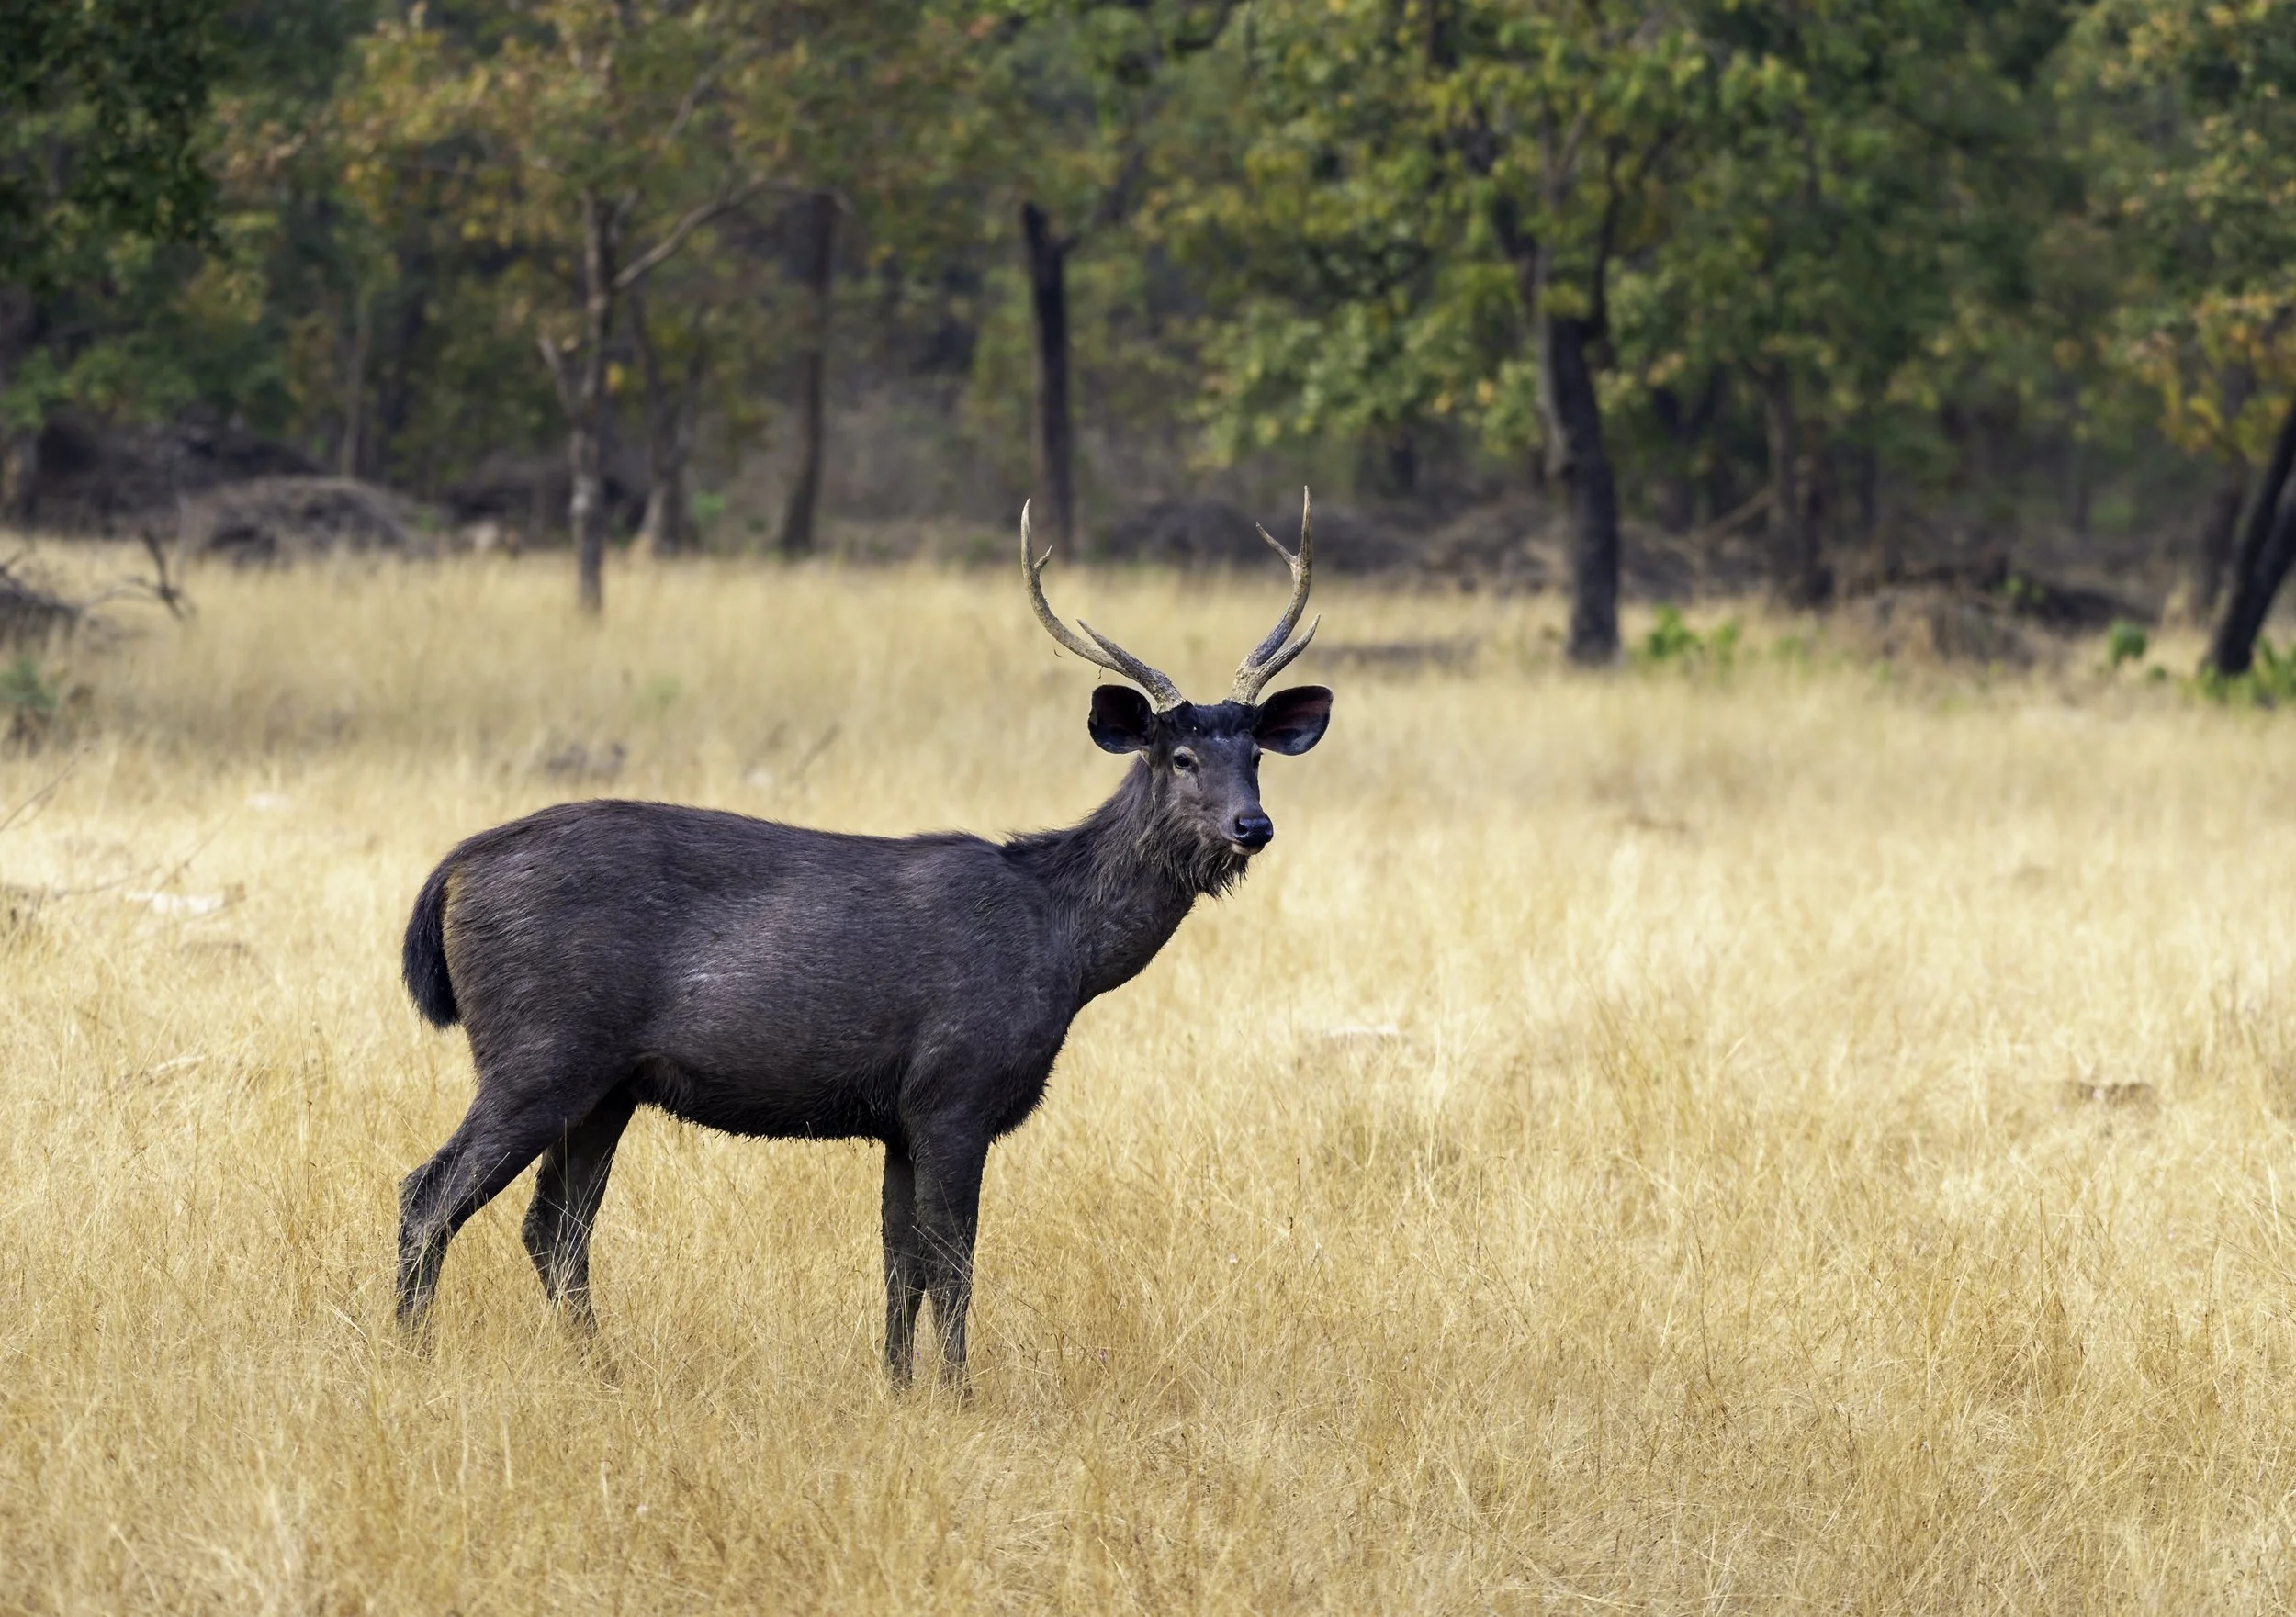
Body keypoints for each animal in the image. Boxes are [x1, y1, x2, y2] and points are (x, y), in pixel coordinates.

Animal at [393, 493, 1332, 1385]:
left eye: (1254, 752)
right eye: (1179, 756)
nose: (1253, 826)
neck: (1061, 946)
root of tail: (450, 876)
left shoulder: (897, 1117)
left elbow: (898, 1263)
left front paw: (897, 1386)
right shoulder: (955, 1089)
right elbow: (952, 1262)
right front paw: (959, 1396)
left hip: (606, 1084)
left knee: (553, 1226)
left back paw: (601, 1371)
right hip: (539, 1049)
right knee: (429, 1194)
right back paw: (412, 1358)